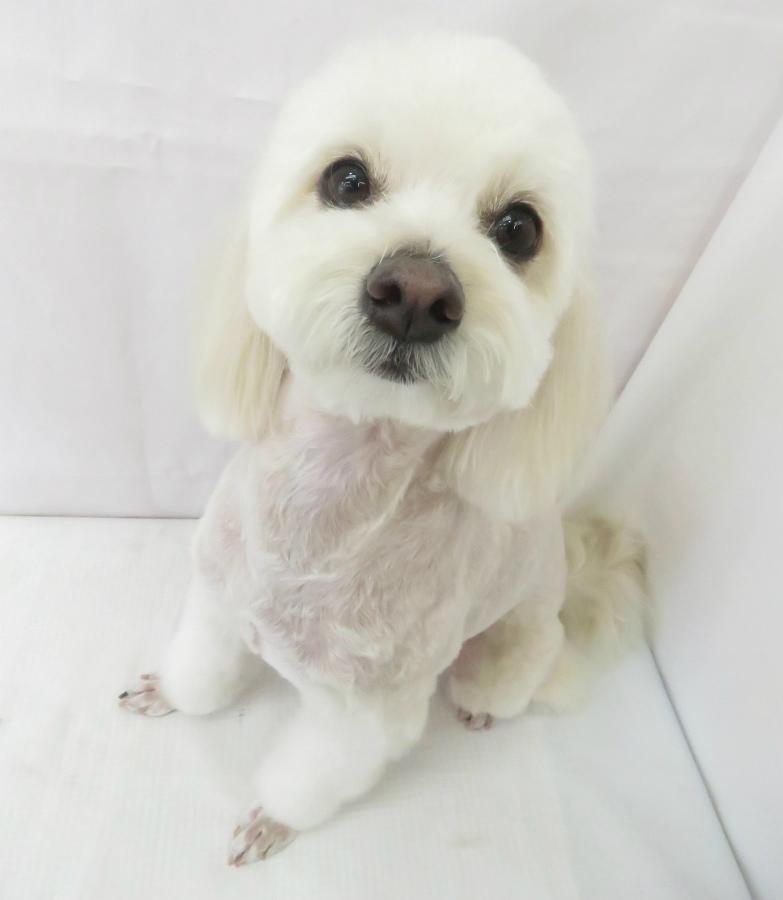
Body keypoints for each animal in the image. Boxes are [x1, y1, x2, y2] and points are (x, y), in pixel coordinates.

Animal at [119, 34, 647, 866]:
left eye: (519, 228)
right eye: (346, 179)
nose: (416, 293)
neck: (323, 511)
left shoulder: (365, 714)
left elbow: (310, 777)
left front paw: (271, 821)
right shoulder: (215, 601)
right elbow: (200, 672)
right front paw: (171, 695)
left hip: (509, 646)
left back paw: (483, 708)